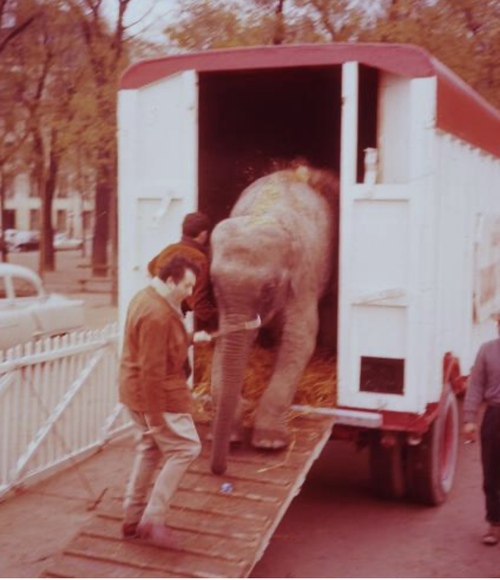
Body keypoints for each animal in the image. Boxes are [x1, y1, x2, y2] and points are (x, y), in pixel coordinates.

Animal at [209, 164, 338, 476]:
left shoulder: (304, 277)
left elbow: (299, 339)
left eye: (268, 288)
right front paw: (233, 435)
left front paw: (269, 444)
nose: (219, 470)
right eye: (214, 284)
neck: (263, 214)